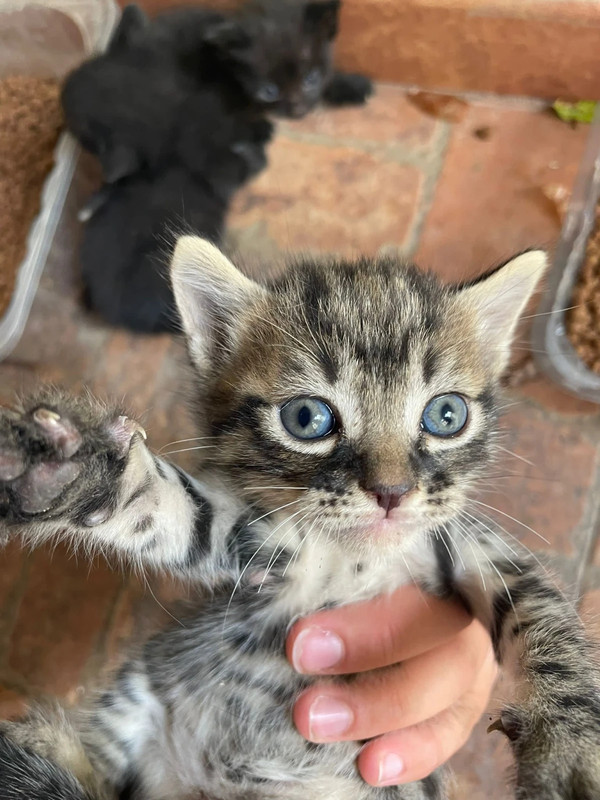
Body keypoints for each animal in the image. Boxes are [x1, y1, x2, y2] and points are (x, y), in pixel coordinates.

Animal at [1, 239, 600, 800]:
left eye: (446, 415)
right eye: (308, 418)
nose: (392, 492)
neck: (355, 561)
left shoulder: (479, 546)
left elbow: (550, 625)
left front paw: (571, 755)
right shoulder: (251, 540)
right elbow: (165, 507)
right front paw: (64, 470)